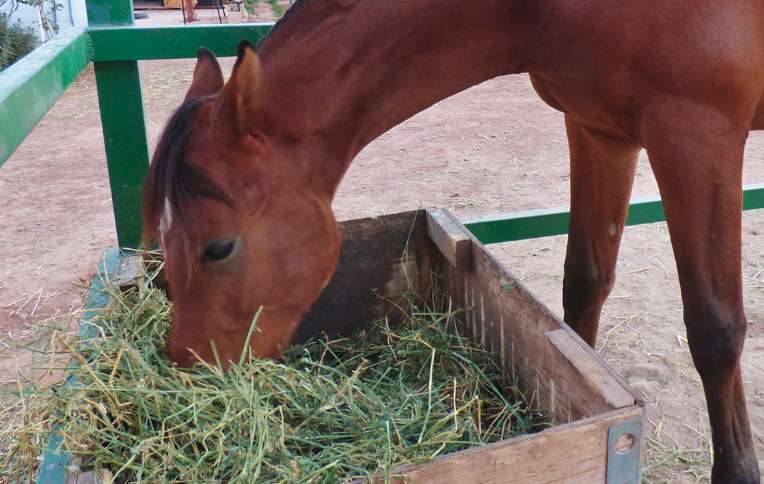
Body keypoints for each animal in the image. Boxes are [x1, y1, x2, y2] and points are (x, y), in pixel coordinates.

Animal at [143, 1, 764, 482]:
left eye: (218, 247)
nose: (189, 371)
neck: (547, 11)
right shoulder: (599, 130)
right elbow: (584, 284)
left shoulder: (696, 133)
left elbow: (715, 329)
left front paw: (738, 472)